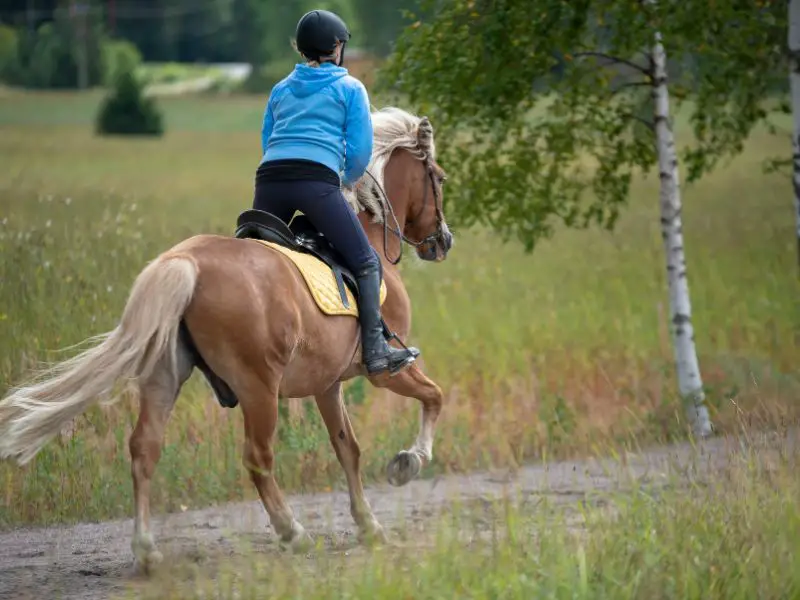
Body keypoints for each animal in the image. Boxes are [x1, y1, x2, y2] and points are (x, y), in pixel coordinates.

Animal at [0, 106, 450, 572]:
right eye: (438, 176)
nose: (443, 241)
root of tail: (186, 262)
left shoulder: (327, 384)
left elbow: (349, 449)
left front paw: (369, 525)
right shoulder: (386, 371)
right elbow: (434, 397)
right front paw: (408, 463)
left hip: (165, 376)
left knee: (144, 449)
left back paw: (147, 551)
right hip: (258, 387)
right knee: (257, 457)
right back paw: (292, 532)